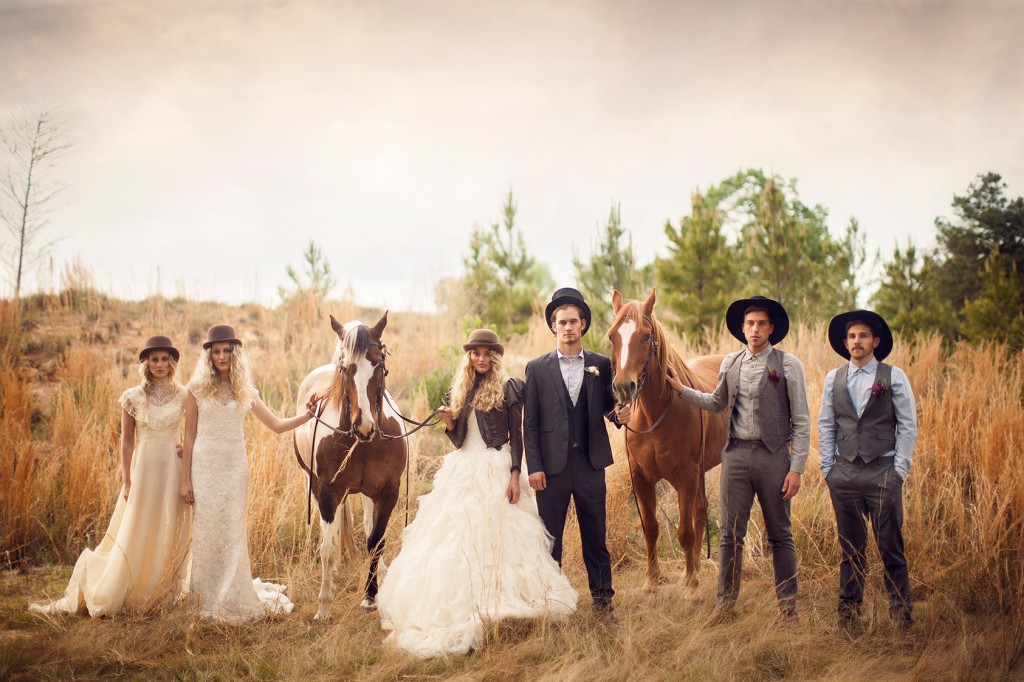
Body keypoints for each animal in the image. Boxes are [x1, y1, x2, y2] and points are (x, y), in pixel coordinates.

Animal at [292, 313, 403, 614]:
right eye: (345, 369)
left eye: (379, 365)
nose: (363, 426)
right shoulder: (327, 492)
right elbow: (327, 547)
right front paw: (324, 606)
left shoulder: (388, 492)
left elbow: (375, 540)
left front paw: (371, 595)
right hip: (316, 486)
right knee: (328, 536)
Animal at [602, 286, 733, 589]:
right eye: (613, 336)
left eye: (645, 336)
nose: (623, 387)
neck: (655, 416)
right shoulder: (640, 477)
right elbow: (651, 528)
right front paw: (652, 581)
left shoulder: (686, 476)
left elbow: (685, 531)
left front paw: (690, 583)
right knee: (700, 513)